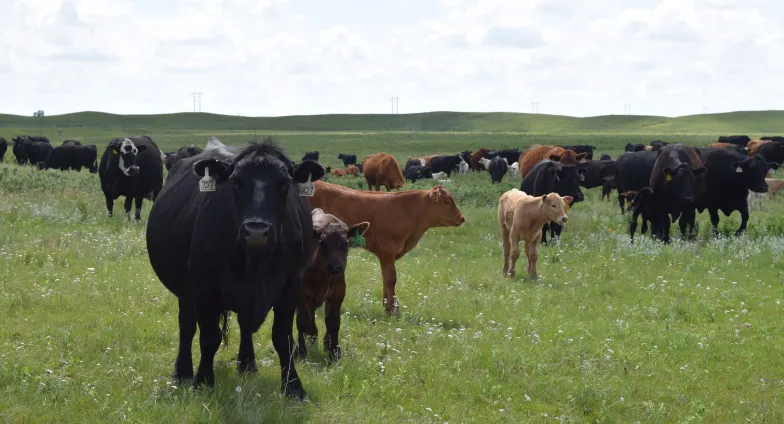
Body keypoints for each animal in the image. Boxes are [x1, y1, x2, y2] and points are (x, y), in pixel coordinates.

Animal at [146, 138, 324, 397]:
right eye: (236, 183)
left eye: (283, 184)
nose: (256, 230)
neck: (255, 262)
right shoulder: (203, 288)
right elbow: (209, 337)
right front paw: (203, 381)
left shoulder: (291, 285)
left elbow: (282, 337)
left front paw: (293, 386)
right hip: (185, 291)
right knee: (187, 326)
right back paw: (183, 373)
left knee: (244, 325)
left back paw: (247, 364)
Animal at [295, 209, 369, 362]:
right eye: (322, 242)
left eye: (346, 243)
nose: (335, 267)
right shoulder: (299, 293)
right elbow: (303, 321)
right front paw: (302, 352)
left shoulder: (338, 293)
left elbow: (333, 322)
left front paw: (334, 353)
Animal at [308, 182, 464, 313]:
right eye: (446, 201)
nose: (462, 218)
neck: (407, 211)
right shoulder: (387, 252)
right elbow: (391, 279)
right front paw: (394, 309)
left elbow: (385, 279)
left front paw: (387, 306)